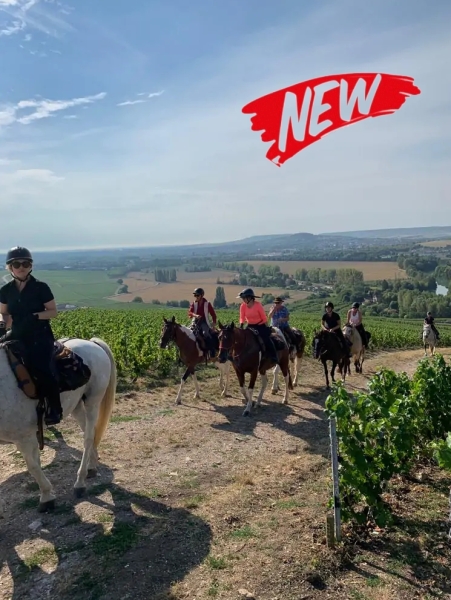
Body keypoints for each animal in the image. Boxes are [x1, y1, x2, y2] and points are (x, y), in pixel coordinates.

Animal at [0, 336, 116, 512]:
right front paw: (45, 493)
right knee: (89, 433)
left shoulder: (23, 437)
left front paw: (47, 497)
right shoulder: (30, 437)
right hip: (76, 405)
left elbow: (33, 467)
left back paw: (80, 482)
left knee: (88, 438)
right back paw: (92, 465)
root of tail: (91, 342)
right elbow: (36, 463)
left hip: (93, 401)